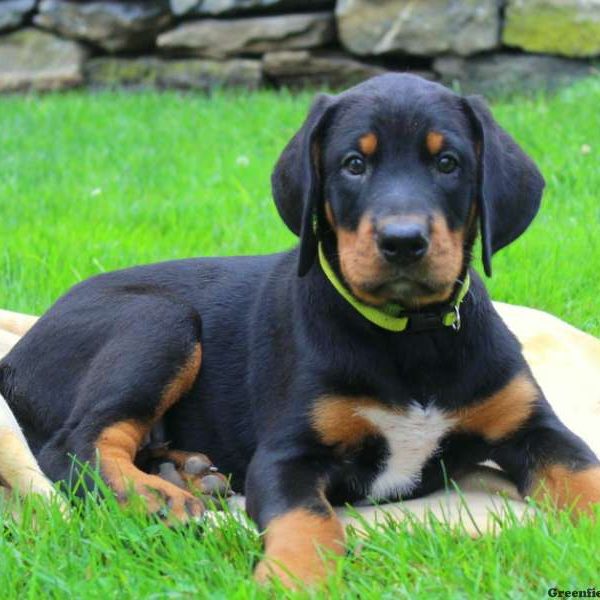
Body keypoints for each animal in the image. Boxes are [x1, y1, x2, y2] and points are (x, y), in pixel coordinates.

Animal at [1, 75, 600, 584]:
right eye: (354, 164)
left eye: (448, 162)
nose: (403, 241)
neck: (409, 335)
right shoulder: (287, 454)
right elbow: (309, 520)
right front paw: (295, 580)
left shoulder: (533, 427)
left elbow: (584, 473)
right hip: (158, 321)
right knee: (67, 445)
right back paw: (156, 496)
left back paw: (184, 471)